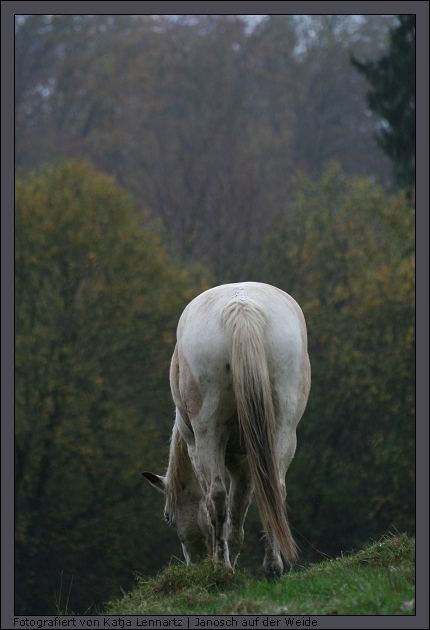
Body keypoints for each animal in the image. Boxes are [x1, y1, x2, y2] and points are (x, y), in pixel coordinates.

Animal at [143, 282, 310, 576]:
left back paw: (221, 567)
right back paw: (272, 566)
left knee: (217, 496)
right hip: (283, 430)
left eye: (169, 518)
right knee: (274, 488)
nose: (194, 561)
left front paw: (225, 562)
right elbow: (239, 512)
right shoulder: (243, 460)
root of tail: (241, 308)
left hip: (207, 433)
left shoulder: (199, 448)